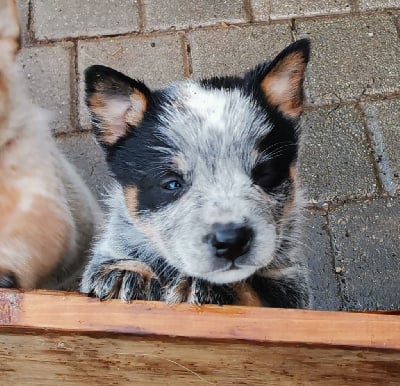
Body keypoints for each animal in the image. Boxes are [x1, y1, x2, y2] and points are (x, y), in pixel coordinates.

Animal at [81, 39, 312, 310]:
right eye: (172, 184)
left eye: (265, 174)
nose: (231, 241)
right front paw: (127, 272)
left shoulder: (290, 286)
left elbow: (250, 291)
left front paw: (200, 285)